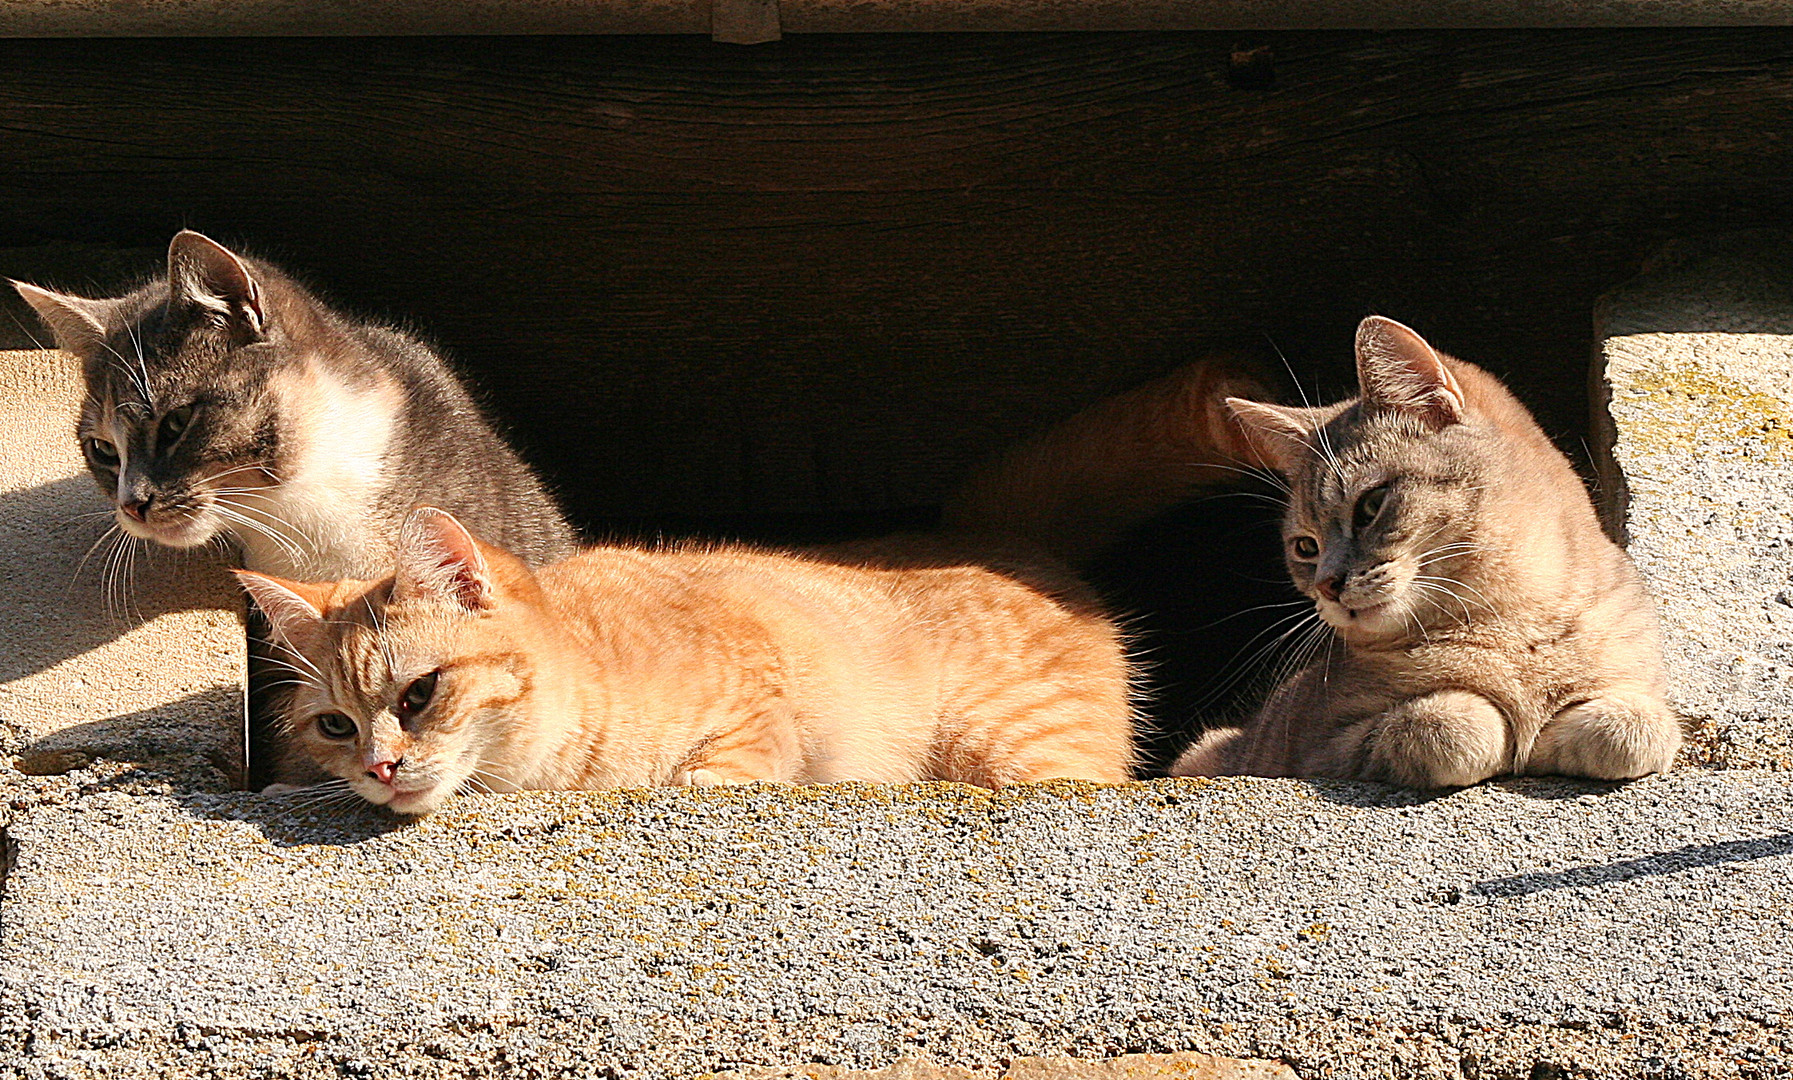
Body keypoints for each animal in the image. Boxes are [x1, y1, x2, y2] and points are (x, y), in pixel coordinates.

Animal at [238, 509, 1133, 810]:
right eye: (335, 726)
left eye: (420, 693)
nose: (379, 768)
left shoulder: (760, 680)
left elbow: (732, 758)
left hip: (1018, 747)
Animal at [1176, 317, 1678, 782]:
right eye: (1305, 546)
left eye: (1371, 505)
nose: (1327, 585)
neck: (1514, 626)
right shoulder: (1291, 750)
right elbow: (1448, 724)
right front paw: (1513, 737)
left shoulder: (1637, 688)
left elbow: (1636, 729)